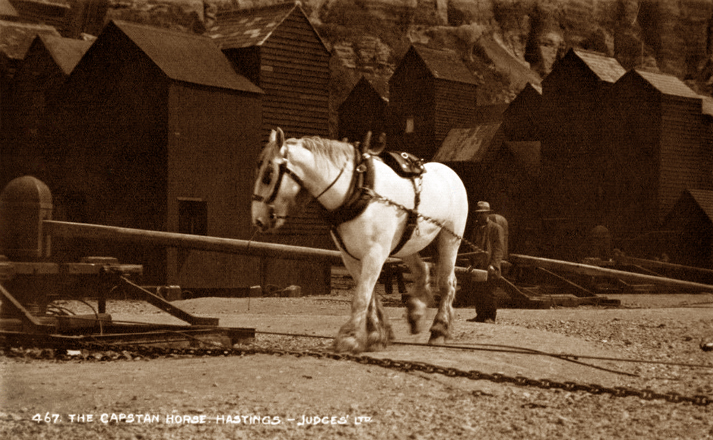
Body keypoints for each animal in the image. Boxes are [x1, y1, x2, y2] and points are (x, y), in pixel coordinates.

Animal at [251, 128, 469, 354]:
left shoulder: (375, 253)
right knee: (422, 270)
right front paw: (375, 335)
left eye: (268, 175)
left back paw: (439, 329)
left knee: (447, 282)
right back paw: (416, 314)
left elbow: (361, 297)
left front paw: (349, 337)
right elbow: (369, 296)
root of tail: (449, 171)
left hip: (450, 238)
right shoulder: (350, 256)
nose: (258, 219)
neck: (357, 190)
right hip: (408, 244)